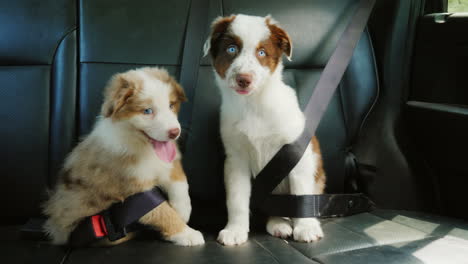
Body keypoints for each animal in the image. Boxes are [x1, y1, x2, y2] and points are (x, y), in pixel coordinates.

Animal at [43, 67, 204, 246]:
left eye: (171, 105)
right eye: (147, 111)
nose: (175, 132)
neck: (144, 147)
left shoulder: (167, 163)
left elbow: (179, 180)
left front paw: (183, 209)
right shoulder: (133, 190)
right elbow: (161, 211)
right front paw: (187, 233)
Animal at [203, 14, 328, 245]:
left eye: (262, 52)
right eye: (231, 49)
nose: (244, 79)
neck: (253, 104)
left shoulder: (296, 153)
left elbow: (301, 194)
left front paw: (305, 227)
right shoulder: (236, 159)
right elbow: (237, 199)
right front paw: (235, 230)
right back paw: (279, 224)